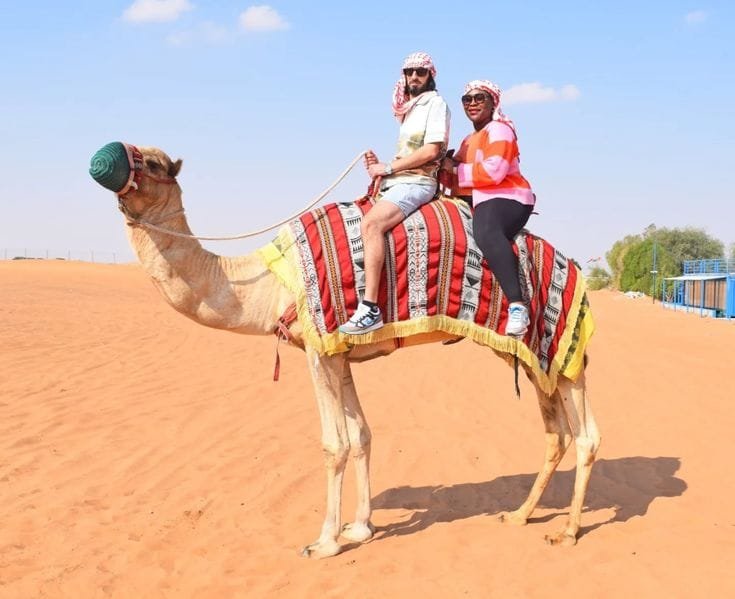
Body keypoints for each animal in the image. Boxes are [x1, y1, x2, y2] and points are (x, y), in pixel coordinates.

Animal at [90, 143, 601, 558]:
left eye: (154, 164)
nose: (102, 161)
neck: (269, 284)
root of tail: (574, 268)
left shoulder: (318, 350)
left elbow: (333, 444)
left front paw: (325, 541)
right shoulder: (338, 355)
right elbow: (362, 436)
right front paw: (360, 528)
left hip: (561, 351)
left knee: (587, 435)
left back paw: (568, 532)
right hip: (533, 359)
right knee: (556, 432)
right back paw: (519, 515)